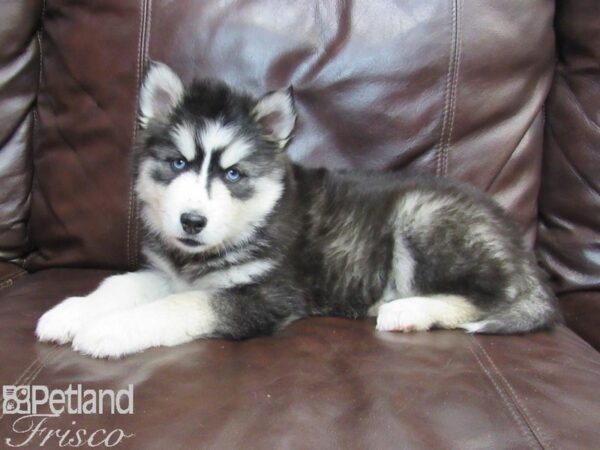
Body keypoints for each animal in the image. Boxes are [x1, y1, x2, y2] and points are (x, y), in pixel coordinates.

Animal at [36, 62, 556, 358]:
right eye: (178, 163)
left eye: (233, 174)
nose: (192, 222)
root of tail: (522, 251)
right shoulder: (171, 274)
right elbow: (120, 284)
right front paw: (70, 313)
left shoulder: (266, 296)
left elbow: (180, 305)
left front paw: (110, 329)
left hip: (422, 214)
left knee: (491, 297)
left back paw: (406, 309)